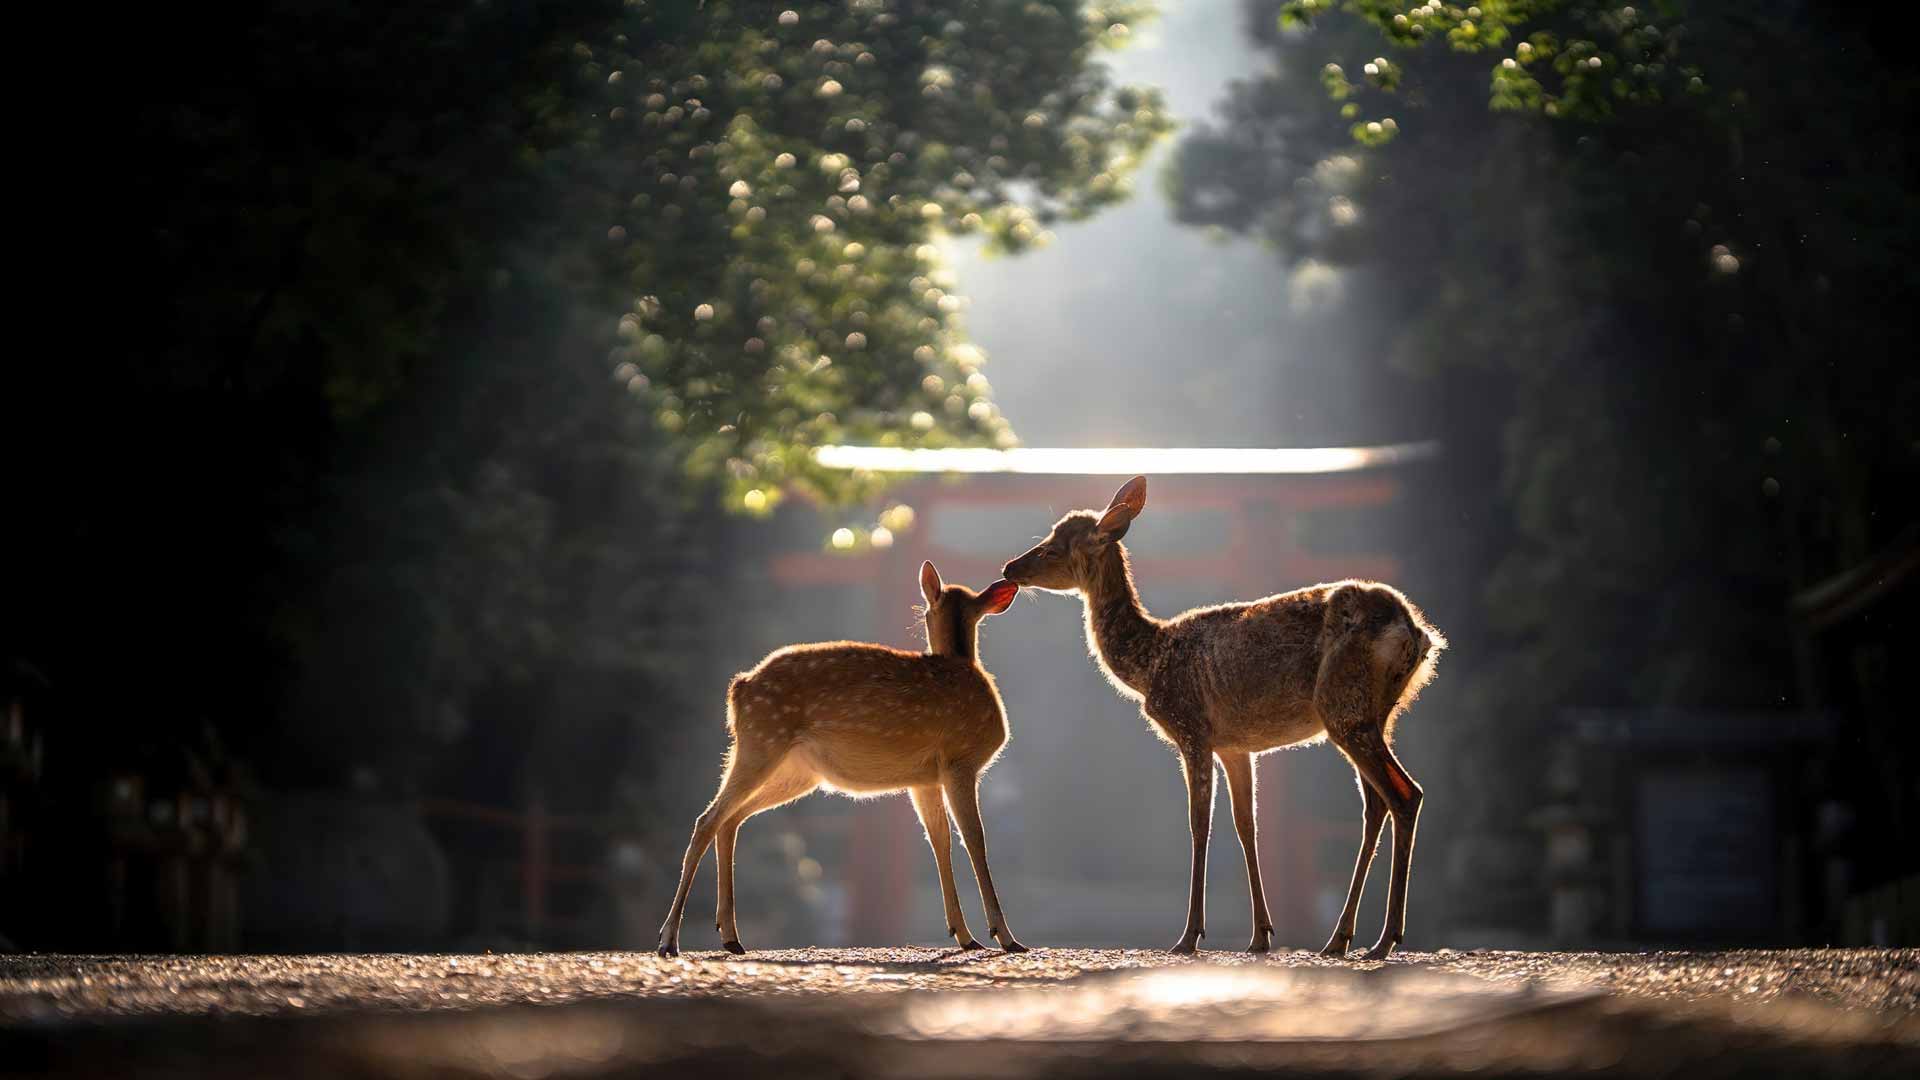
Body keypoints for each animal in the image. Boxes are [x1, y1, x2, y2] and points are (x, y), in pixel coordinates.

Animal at [656, 561, 1029, 957]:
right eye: (926, 610)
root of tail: (739, 689)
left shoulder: (925, 778)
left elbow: (939, 840)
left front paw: (964, 934)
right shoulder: (960, 760)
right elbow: (975, 839)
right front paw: (1004, 936)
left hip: (793, 768)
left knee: (729, 819)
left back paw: (730, 937)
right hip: (763, 741)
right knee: (708, 819)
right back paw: (669, 939)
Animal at [1001, 476, 1444, 960]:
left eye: (1052, 548)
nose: (1009, 567)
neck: (1150, 663)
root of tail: (1417, 632)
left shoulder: (1191, 727)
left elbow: (1200, 825)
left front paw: (1188, 936)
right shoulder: (1235, 744)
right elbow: (1246, 825)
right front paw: (1261, 935)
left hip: (1343, 705)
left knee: (1405, 793)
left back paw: (1384, 940)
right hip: (1377, 712)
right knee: (1377, 803)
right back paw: (1340, 939)